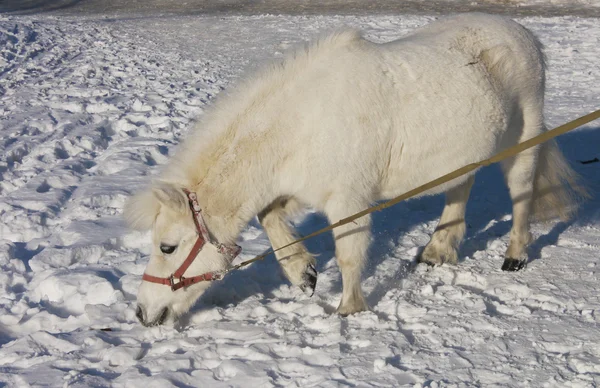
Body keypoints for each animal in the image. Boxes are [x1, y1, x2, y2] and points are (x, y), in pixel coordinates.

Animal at [125, 13, 580, 326]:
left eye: (168, 247)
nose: (142, 312)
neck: (301, 122)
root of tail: (523, 33)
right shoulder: (300, 188)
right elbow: (268, 215)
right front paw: (302, 272)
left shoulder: (348, 199)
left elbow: (348, 253)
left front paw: (349, 309)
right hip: (465, 151)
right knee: (459, 188)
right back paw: (438, 250)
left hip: (523, 139)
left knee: (522, 193)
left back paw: (515, 255)